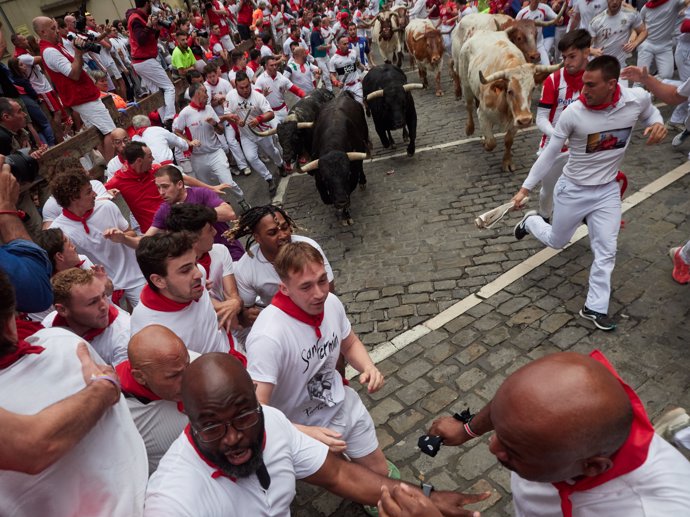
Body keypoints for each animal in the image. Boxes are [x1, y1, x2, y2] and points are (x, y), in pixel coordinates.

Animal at [300, 91, 370, 225]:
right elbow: (326, 198)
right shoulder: (318, 177)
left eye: (347, 175)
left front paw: (345, 215)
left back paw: (363, 182)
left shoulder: (352, 177)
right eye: (325, 179)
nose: (341, 201)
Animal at [456, 29, 560, 171]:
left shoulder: (516, 120)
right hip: (466, 84)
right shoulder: (483, 114)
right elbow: (491, 142)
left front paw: (507, 162)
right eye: (510, 91)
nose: (526, 120)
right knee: (469, 106)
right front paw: (486, 143)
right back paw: (469, 128)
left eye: (533, 88)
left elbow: (508, 141)